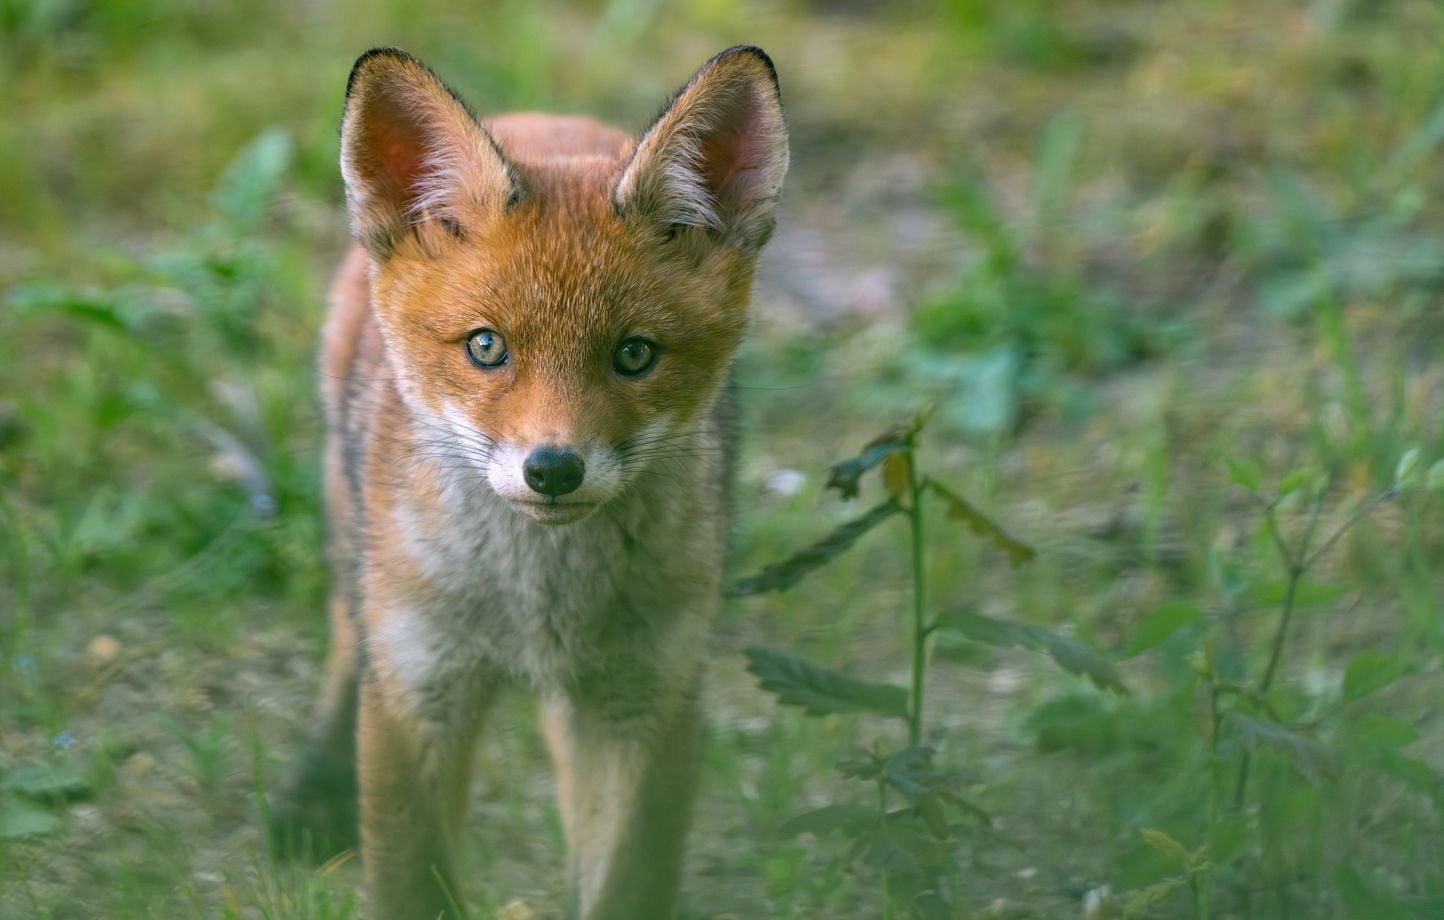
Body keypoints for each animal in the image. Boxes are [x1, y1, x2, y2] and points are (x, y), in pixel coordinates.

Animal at [269, 45, 788, 920]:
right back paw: (314, 783)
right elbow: (411, 883)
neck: (540, 609)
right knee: (348, 635)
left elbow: (624, 884)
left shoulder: (649, 700)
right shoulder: (421, 694)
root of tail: (540, 118)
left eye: (634, 354)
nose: (552, 468)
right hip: (360, 553)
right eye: (487, 347)